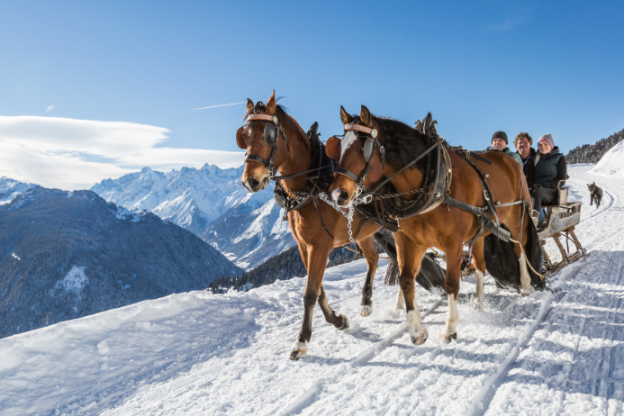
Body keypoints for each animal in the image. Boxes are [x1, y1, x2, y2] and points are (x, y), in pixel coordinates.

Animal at [236, 92, 385, 360]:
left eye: (269, 135)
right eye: (245, 136)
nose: (250, 181)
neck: (312, 183)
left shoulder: (321, 246)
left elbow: (309, 294)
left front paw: (302, 340)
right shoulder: (305, 246)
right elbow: (318, 288)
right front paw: (337, 320)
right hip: (364, 233)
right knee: (374, 258)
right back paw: (367, 302)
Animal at [326, 105, 535, 344]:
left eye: (363, 149)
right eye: (338, 148)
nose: (338, 194)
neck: (433, 181)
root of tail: (508, 159)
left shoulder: (453, 243)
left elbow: (451, 283)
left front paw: (450, 328)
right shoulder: (409, 240)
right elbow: (406, 279)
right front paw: (416, 330)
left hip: (517, 214)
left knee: (519, 247)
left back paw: (526, 284)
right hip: (483, 227)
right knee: (480, 263)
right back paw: (479, 300)